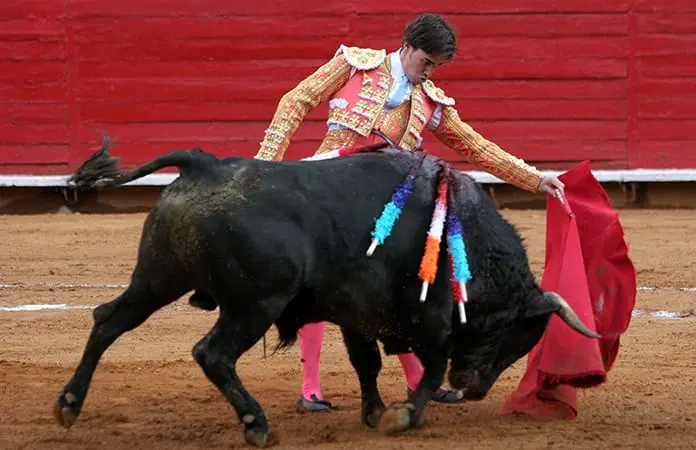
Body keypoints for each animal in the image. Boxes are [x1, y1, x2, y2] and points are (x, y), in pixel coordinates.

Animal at [53, 135, 599, 447]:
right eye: (517, 338)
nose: (475, 390)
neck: (468, 236)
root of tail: (203, 165)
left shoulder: (357, 314)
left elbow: (367, 363)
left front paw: (374, 412)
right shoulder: (431, 319)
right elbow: (428, 368)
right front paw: (402, 416)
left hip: (157, 278)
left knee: (108, 320)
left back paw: (69, 405)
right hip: (254, 303)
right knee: (213, 353)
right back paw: (255, 423)